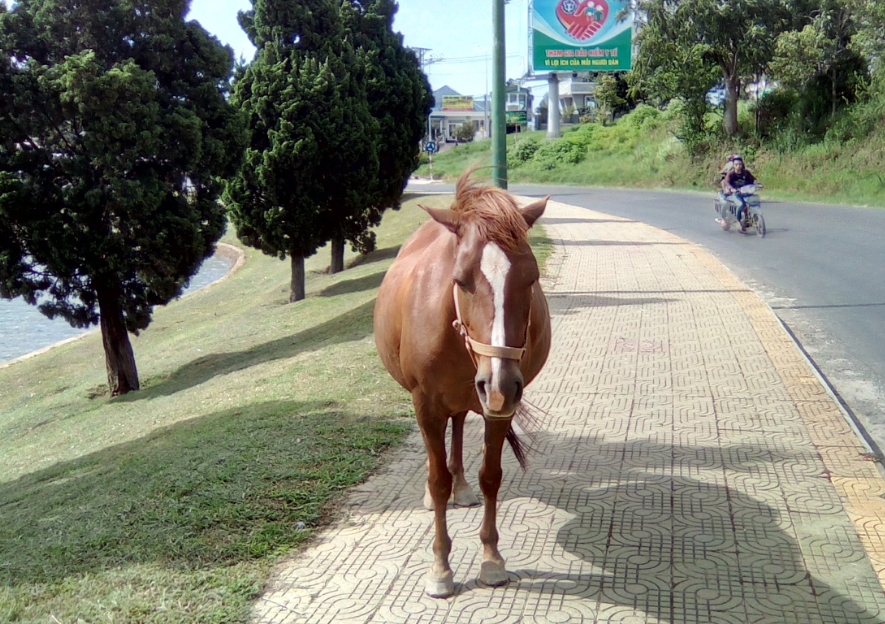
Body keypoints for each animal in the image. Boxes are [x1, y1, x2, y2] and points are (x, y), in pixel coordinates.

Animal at [373, 171, 552, 598]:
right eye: (460, 279)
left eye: (532, 277)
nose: (501, 382)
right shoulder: (425, 406)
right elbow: (437, 481)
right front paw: (440, 568)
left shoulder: (497, 410)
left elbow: (492, 477)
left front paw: (491, 559)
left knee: (457, 427)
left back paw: (463, 485)